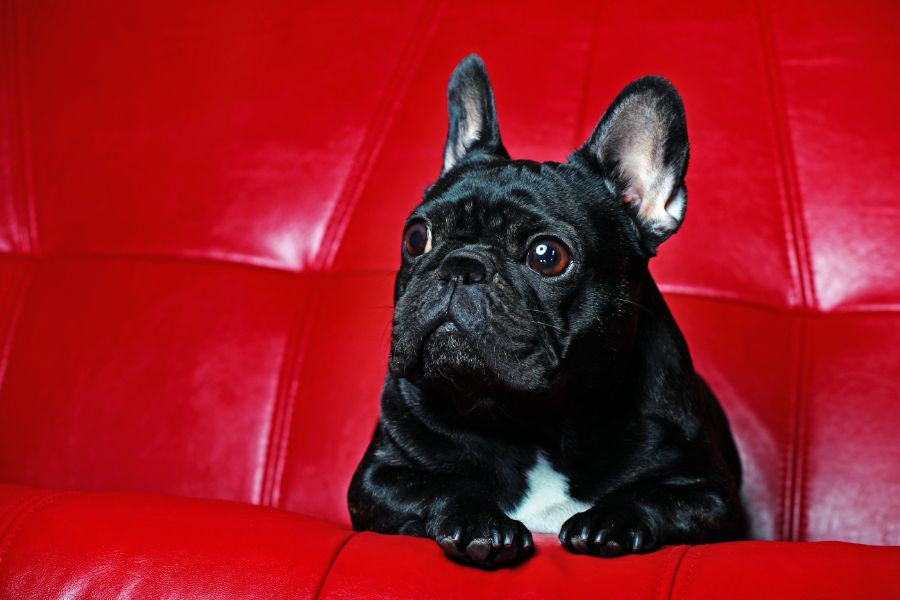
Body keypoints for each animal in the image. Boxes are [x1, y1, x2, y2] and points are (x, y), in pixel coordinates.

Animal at [348, 55, 740, 568]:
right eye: (416, 237)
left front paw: (608, 520)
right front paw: (481, 522)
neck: (533, 423)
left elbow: (652, 495)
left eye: (547, 255)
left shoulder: (709, 494)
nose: (460, 265)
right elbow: (440, 486)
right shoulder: (379, 477)